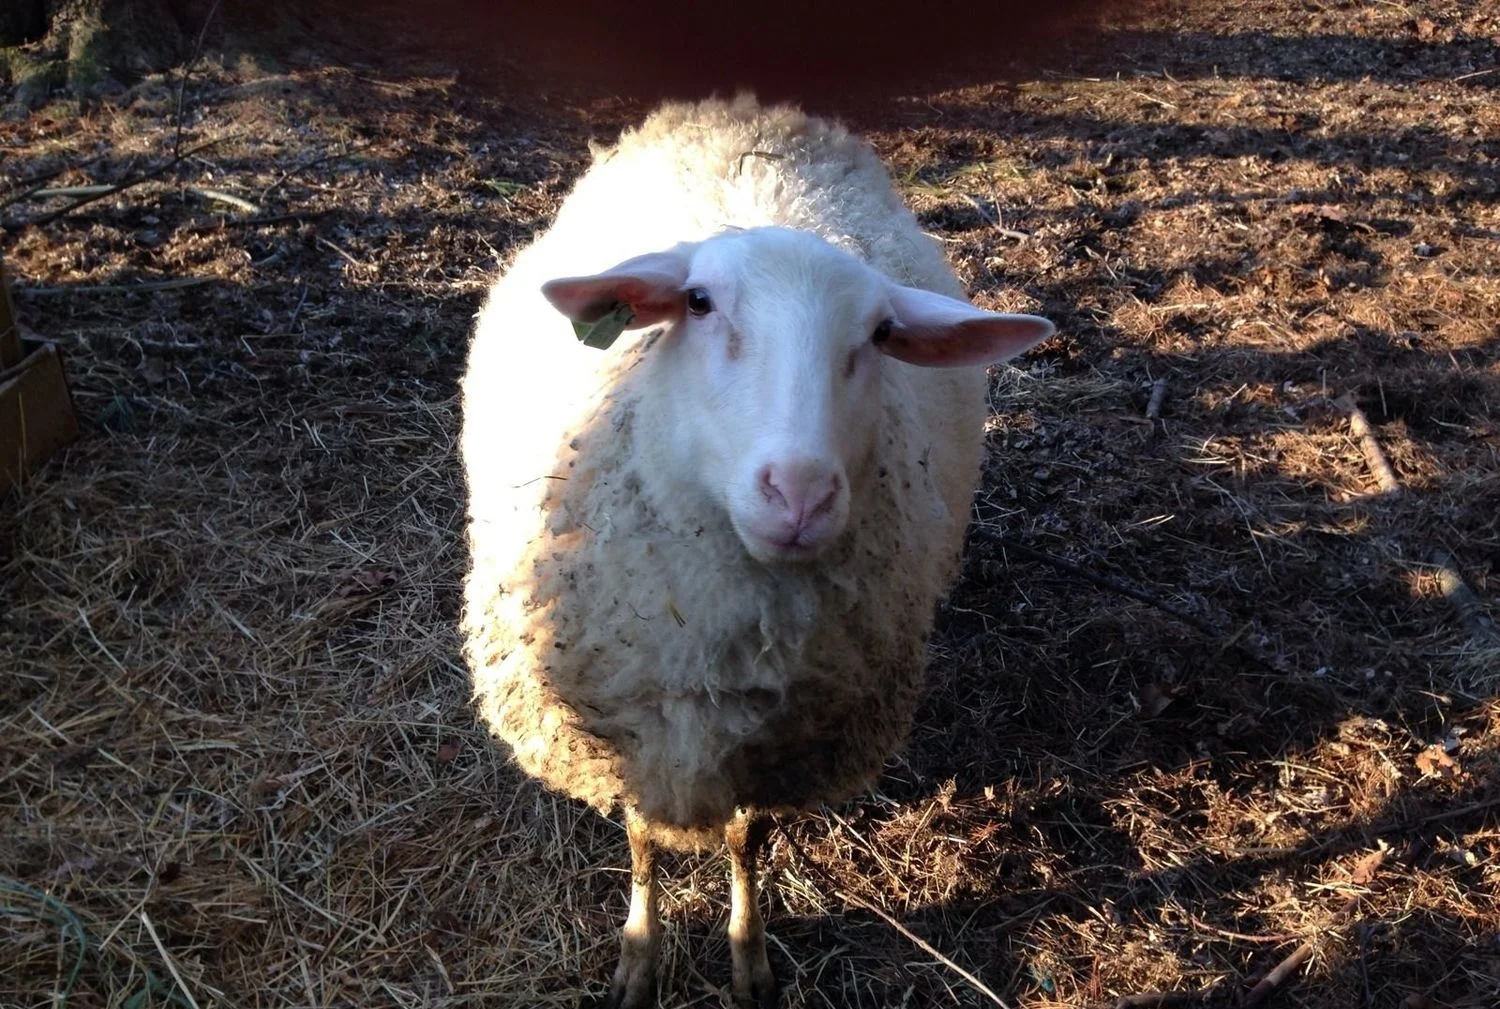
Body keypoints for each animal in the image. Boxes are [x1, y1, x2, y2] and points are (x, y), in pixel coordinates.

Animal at [458, 94, 1055, 1009]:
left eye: (881, 332)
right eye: (699, 303)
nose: (800, 494)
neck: (723, 645)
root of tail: (743, 111)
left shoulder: (782, 745)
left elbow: (747, 842)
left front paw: (749, 955)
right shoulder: (627, 729)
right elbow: (641, 838)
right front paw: (640, 954)